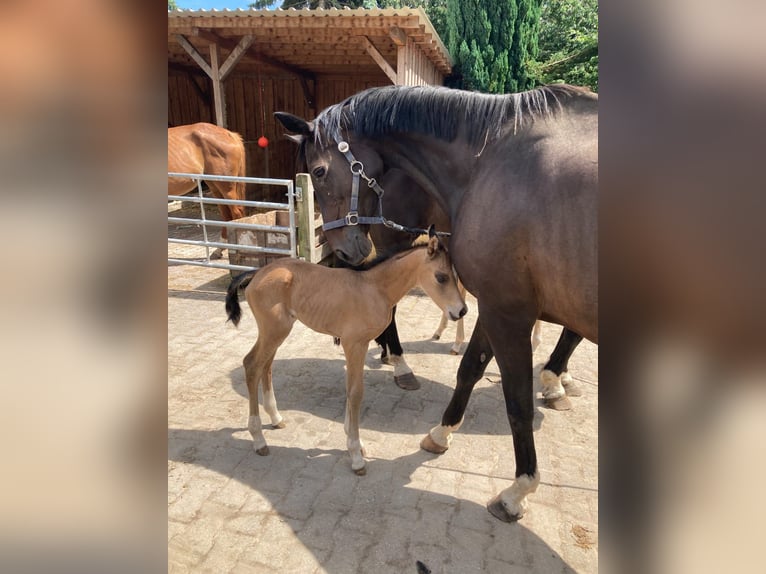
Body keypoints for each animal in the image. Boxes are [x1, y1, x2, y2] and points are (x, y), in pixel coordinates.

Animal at [168, 122, 246, 259]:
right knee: (227, 215)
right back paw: (219, 249)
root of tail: (231, 134)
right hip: (215, 188)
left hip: (227, 188)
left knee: (236, 214)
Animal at [225, 227, 467, 475]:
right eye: (441, 277)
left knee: (266, 365)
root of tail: (257, 273)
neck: (374, 289)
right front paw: (356, 455)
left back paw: (275, 418)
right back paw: (258, 439)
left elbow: (351, 390)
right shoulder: (354, 344)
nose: (462, 310)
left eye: (456, 276)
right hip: (275, 330)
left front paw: (356, 446)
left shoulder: (359, 345)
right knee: (252, 364)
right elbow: (356, 393)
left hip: (276, 331)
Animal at [274, 83, 597, 522]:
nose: (342, 247)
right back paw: (399, 361)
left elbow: (492, 379)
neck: (489, 162)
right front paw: (514, 483)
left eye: (320, 171)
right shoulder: (503, 306)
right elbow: (497, 385)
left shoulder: (502, 307)